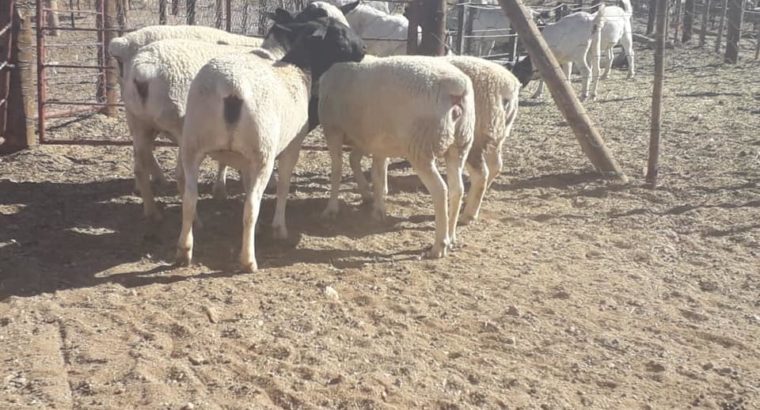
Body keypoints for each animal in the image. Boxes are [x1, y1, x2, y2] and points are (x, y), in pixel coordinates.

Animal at [123, 10, 300, 221]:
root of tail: (143, 72)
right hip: (180, 127)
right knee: (181, 175)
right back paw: (194, 219)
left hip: (138, 122)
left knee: (140, 167)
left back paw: (152, 210)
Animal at [176, 15, 366, 272]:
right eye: (339, 32)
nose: (364, 48)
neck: (301, 70)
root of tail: (231, 88)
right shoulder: (291, 146)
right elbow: (283, 186)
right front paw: (279, 229)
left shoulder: (244, 160)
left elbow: (246, 186)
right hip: (262, 152)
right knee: (251, 207)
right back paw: (248, 260)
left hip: (193, 144)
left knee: (189, 200)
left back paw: (184, 251)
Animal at [318, 55, 476, 258]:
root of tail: (457, 86)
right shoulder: (375, 141)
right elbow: (376, 175)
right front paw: (377, 208)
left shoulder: (333, 130)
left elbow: (337, 170)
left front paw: (331, 209)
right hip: (460, 145)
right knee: (457, 189)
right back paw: (451, 235)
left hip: (421, 147)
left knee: (440, 191)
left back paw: (439, 246)